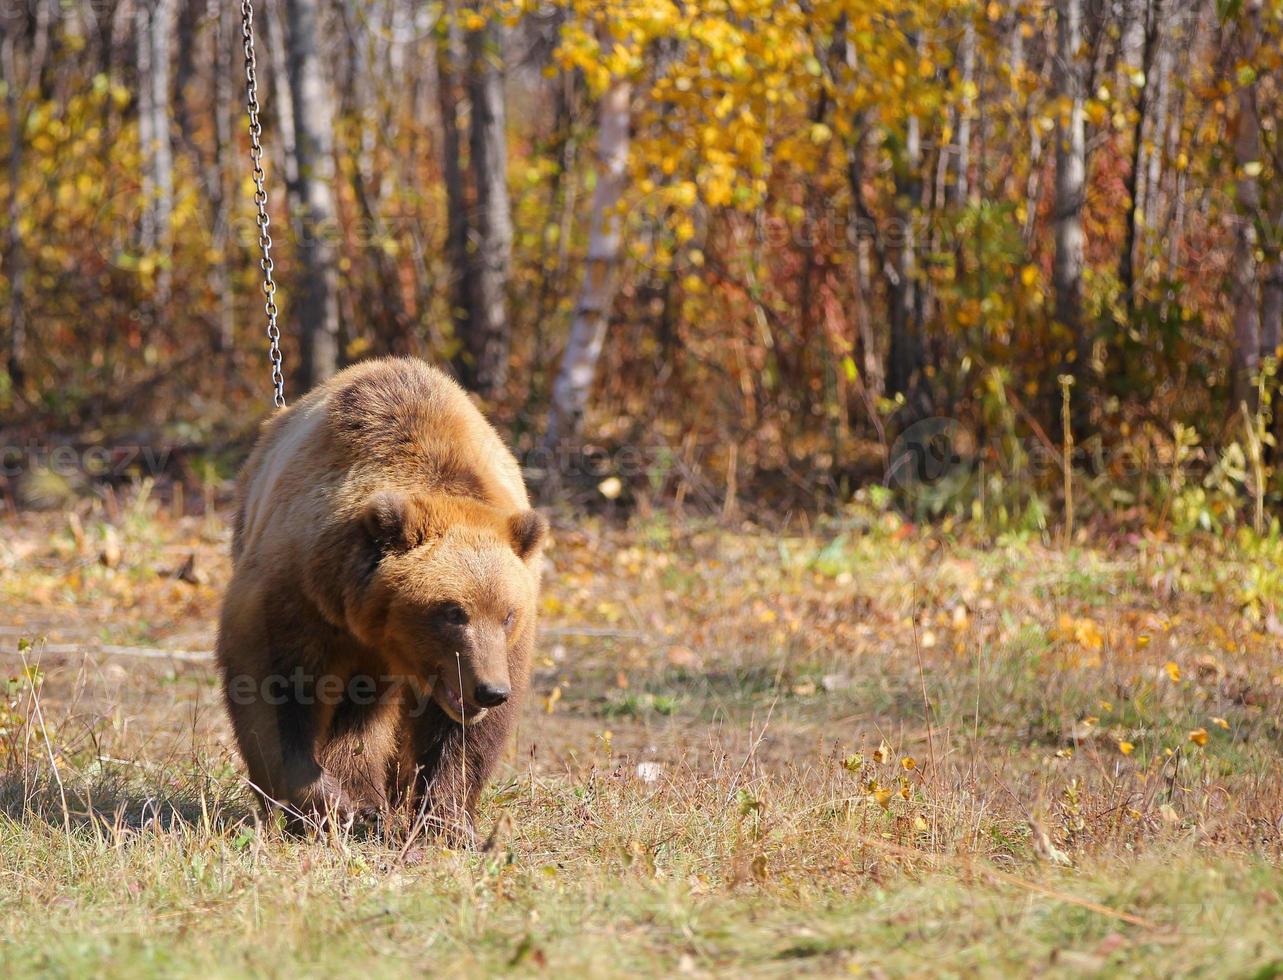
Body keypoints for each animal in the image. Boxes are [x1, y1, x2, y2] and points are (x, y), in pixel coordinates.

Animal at [215, 356, 546, 836]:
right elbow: (273, 689)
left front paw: (445, 817)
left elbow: (465, 739)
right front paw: (327, 803)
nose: (489, 690)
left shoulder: (505, 648)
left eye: (508, 614)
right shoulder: (297, 594)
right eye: (453, 612)